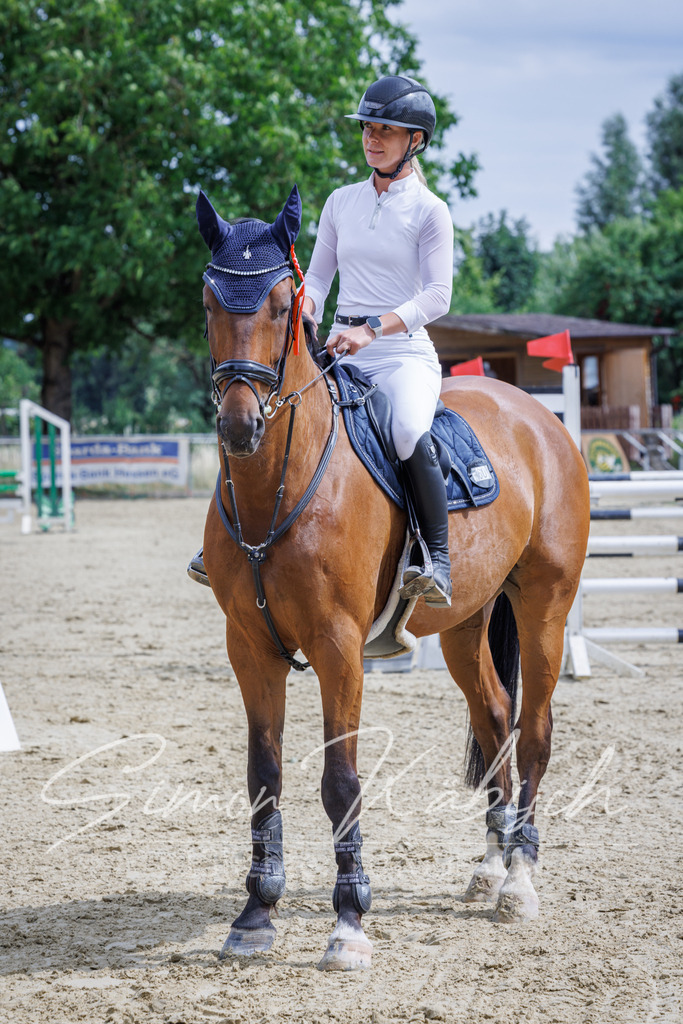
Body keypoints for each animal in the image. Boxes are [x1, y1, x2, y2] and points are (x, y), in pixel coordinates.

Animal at [196, 185, 591, 971]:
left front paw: (349, 922)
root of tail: (538, 415)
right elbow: (264, 776)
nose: (239, 428)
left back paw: (519, 880)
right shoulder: (249, 645)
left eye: (282, 305)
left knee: (533, 729)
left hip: (546, 609)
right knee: (494, 717)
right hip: (467, 622)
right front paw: (255, 914)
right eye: (208, 301)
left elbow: (340, 779)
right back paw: (491, 863)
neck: (276, 487)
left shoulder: (338, 645)